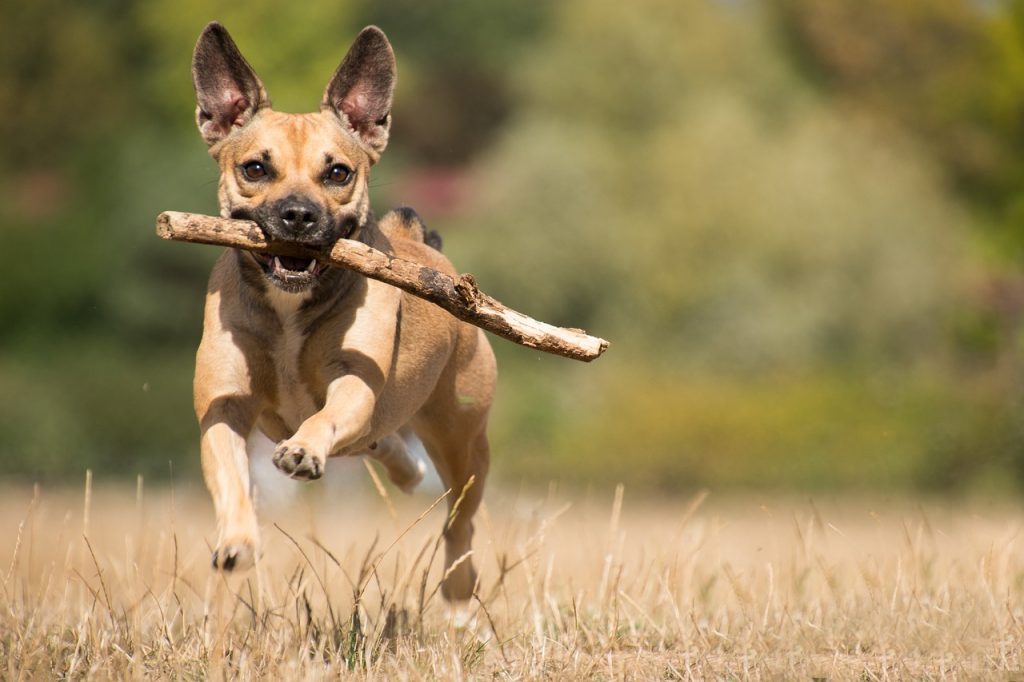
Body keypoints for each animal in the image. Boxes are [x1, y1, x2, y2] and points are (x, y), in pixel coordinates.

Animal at [192, 21, 499, 598]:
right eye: (255, 168)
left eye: (337, 173)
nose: (297, 214)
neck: (289, 304)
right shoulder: (224, 404)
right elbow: (229, 473)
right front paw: (236, 541)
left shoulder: (353, 382)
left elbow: (329, 414)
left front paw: (302, 450)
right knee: (384, 446)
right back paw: (403, 469)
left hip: (463, 441)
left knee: (461, 522)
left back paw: (457, 588)